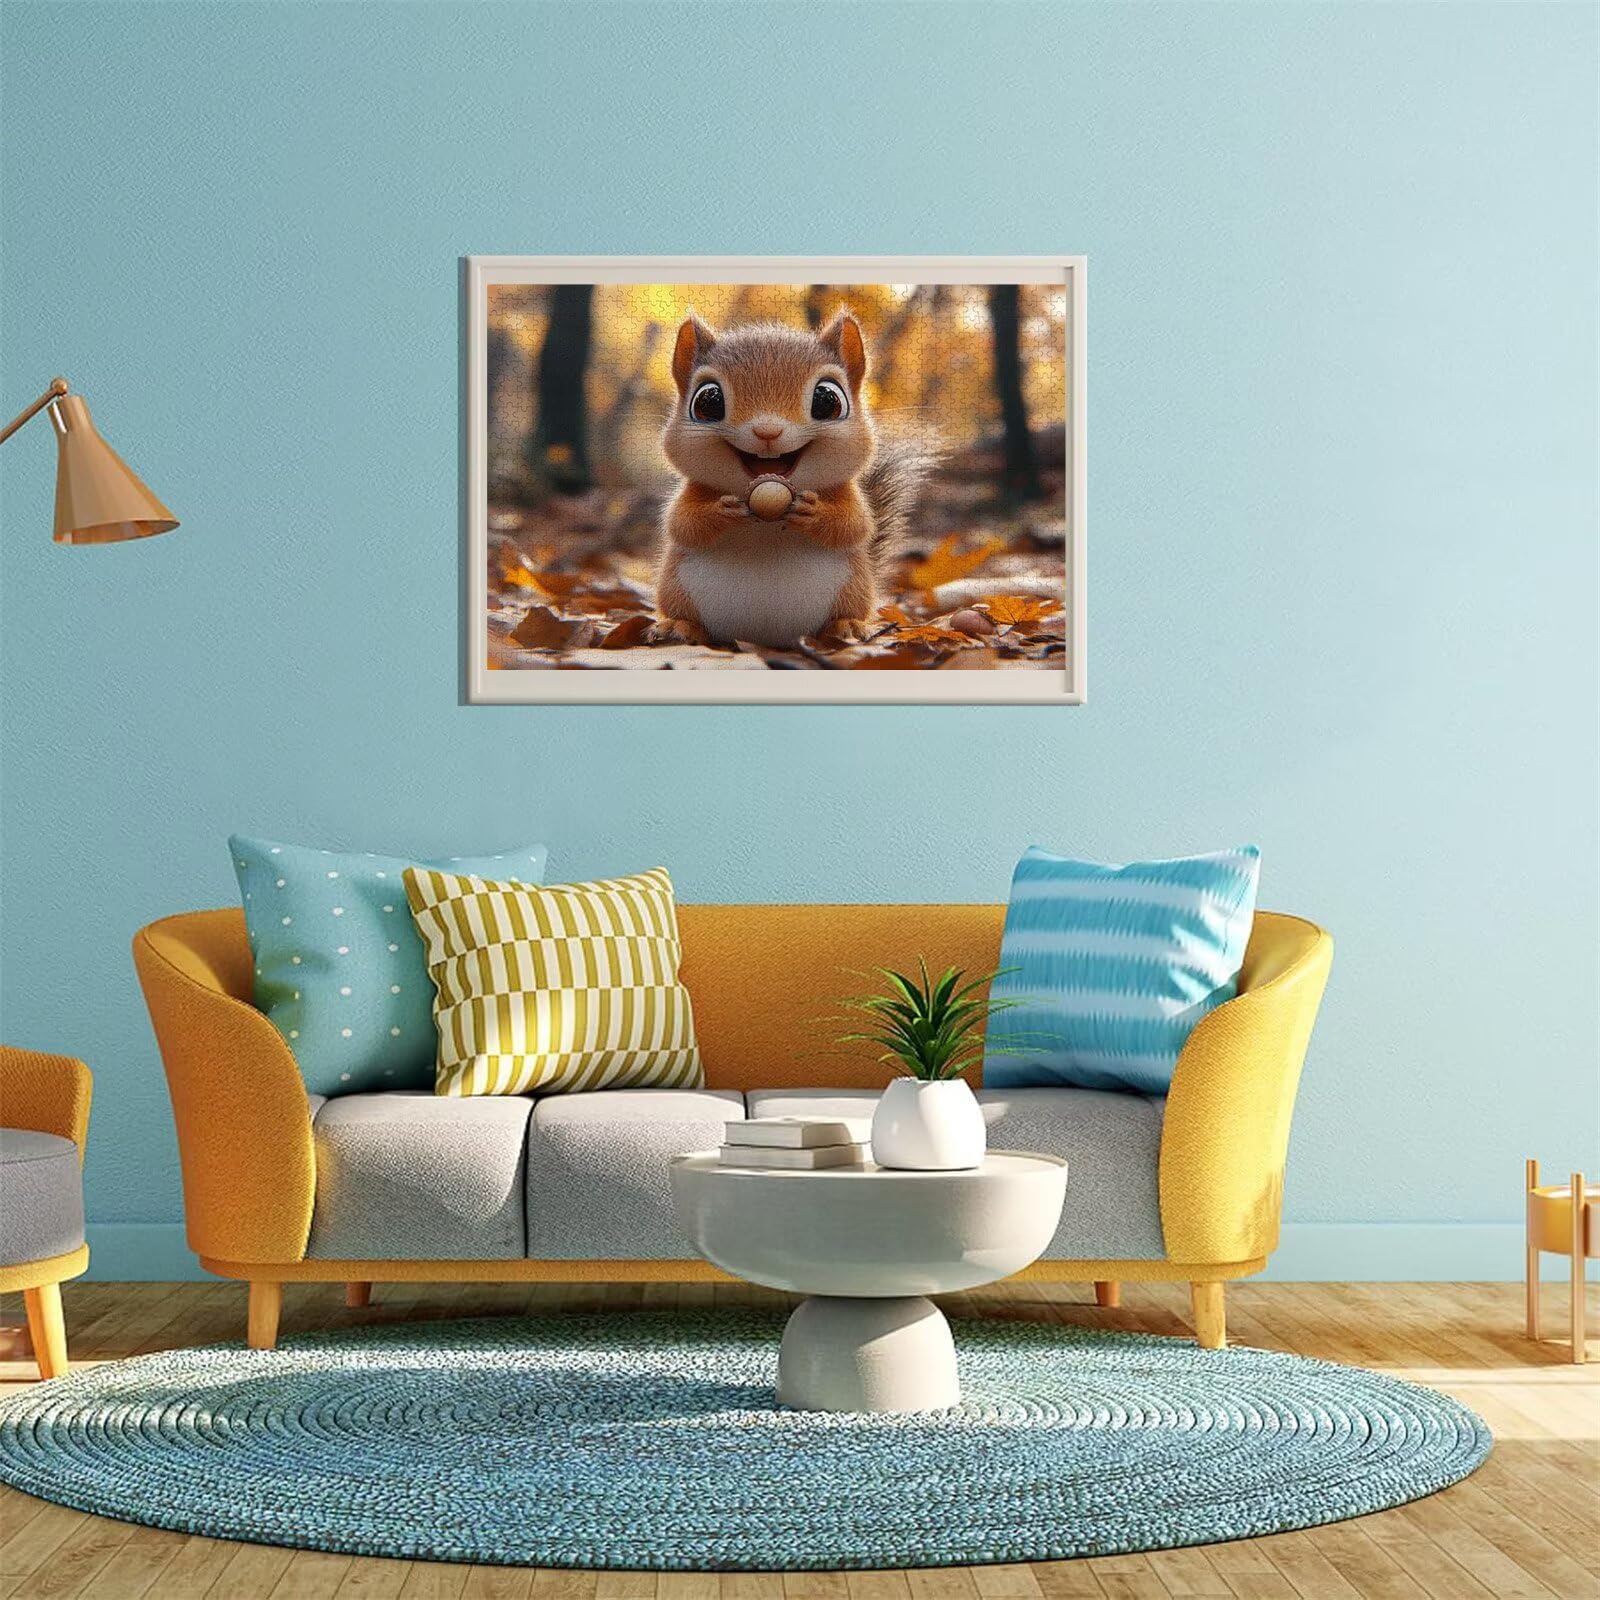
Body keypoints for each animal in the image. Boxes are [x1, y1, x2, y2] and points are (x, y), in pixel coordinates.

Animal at [654, 309, 937, 649]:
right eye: (707, 401)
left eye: (828, 400)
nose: (767, 431)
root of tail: (766, 638)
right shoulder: (690, 494)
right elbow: (682, 523)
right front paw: (722, 509)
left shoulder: (848, 497)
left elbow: (854, 525)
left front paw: (813, 511)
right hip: (677, 590)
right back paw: (679, 627)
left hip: (852, 589)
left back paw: (846, 626)